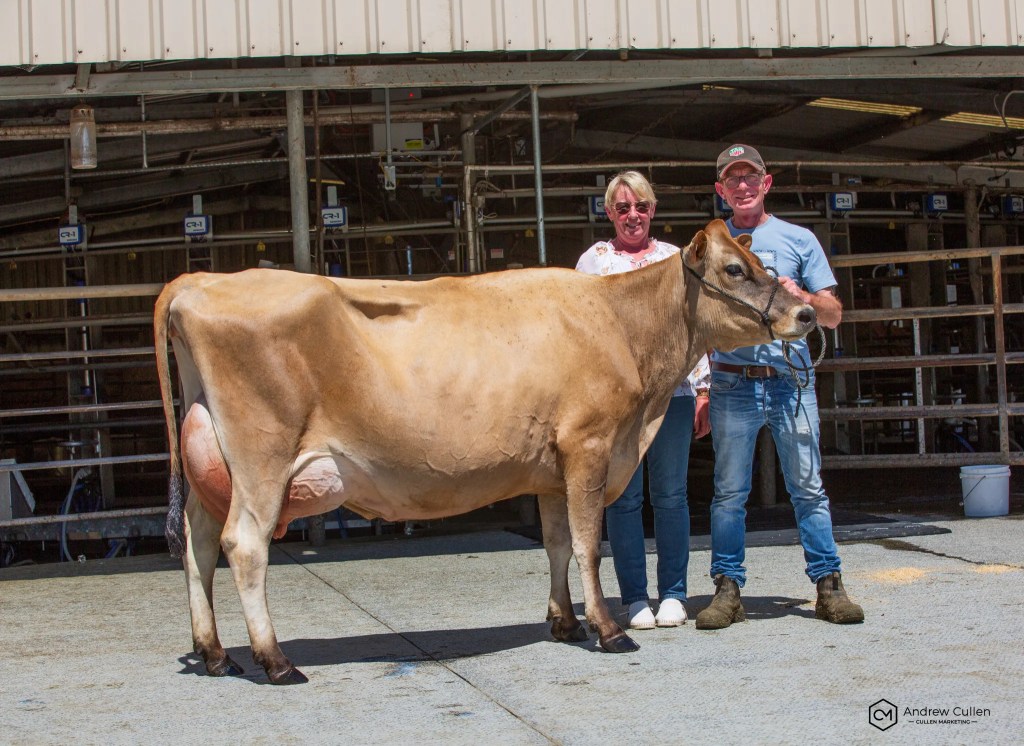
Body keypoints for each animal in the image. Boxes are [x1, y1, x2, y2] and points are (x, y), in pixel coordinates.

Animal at [154, 219, 816, 685]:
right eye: (734, 270)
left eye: (761, 263)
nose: (807, 311)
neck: (621, 325)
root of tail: (200, 280)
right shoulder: (590, 445)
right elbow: (586, 544)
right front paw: (607, 629)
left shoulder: (552, 469)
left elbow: (555, 542)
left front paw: (564, 622)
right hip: (261, 458)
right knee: (245, 546)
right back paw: (275, 661)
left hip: (211, 458)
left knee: (197, 545)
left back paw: (215, 654)